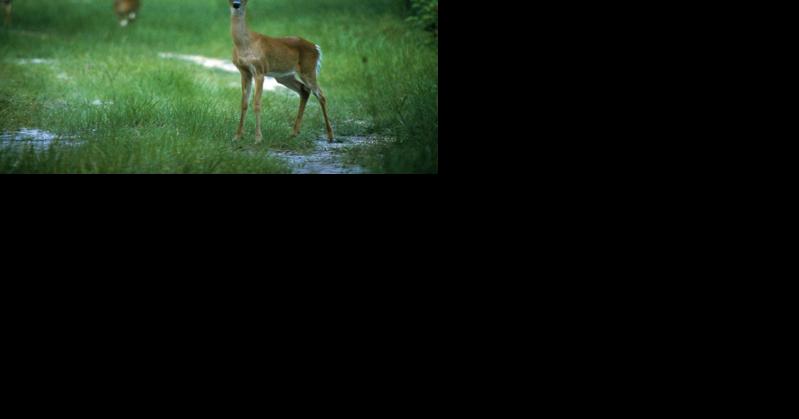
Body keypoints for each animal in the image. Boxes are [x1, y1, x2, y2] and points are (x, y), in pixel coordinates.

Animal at [228, 0, 334, 144]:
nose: (236, 4)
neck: (245, 44)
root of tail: (316, 47)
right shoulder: (244, 72)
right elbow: (244, 103)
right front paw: (237, 136)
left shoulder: (260, 70)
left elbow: (257, 103)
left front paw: (258, 138)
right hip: (285, 76)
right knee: (304, 90)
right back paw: (294, 133)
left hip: (308, 69)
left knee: (320, 95)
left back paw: (330, 136)